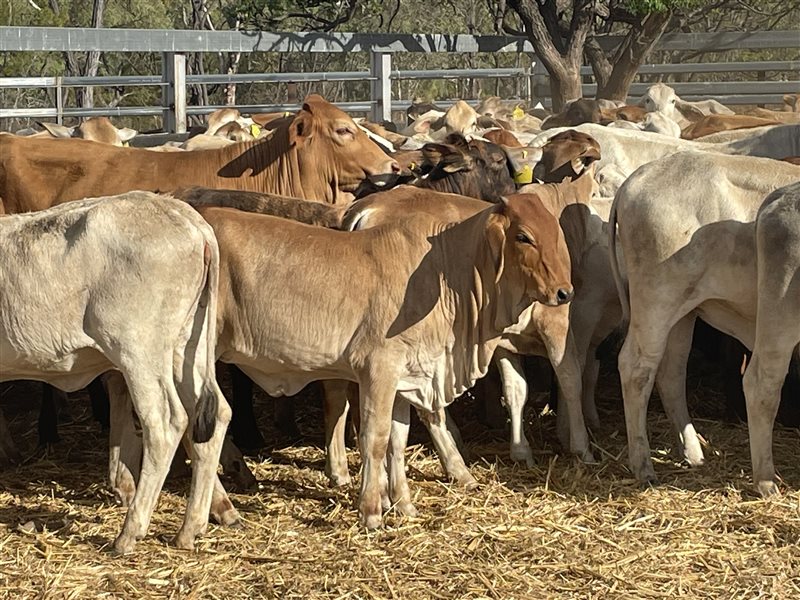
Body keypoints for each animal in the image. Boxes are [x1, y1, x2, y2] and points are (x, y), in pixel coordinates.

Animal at [0, 193, 231, 552]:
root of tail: (186, 217)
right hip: (186, 347)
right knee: (213, 417)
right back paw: (190, 528)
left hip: (138, 350)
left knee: (164, 425)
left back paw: (130, 531)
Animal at [608, 151, 796, 492]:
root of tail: (638, 177)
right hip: (657, 302)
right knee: (636, 368)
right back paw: (643, 465)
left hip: (685, 313)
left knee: (671, 373)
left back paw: (692, 452)